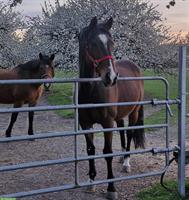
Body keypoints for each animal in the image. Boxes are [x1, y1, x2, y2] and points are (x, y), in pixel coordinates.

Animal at [78, 17, 145, 200]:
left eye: (112, 43)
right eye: (93, 43)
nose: (111, 77)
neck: (91, 90)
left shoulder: (107, 123)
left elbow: (107, 152)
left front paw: (111, 188)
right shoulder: (85, 124)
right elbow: (91, 150)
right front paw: (91, 182)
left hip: (134, 112)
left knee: (129, 133)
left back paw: (126, 163)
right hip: (120, 116)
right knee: (122, 131)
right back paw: (121, 157)